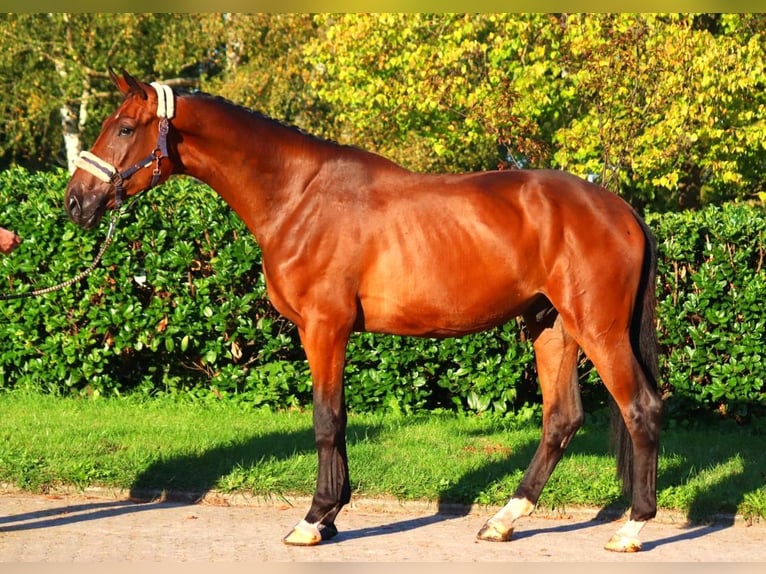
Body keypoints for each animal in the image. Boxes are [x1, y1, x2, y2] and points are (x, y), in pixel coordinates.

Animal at [66, 70, 664, 556]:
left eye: (125, 129)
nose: (75, 202)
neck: (298, 196)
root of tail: (620, 209)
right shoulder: (332, 332)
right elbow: (339, 419)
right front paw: (332, 515)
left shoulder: (323, 328)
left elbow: (326, 420)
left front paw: (313, 520)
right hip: (552, 328)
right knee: (561, 419)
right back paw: (503, 520)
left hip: (598, 330)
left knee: (640, 409)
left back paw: (631, 529)